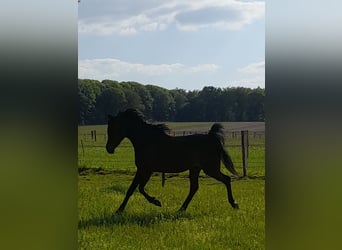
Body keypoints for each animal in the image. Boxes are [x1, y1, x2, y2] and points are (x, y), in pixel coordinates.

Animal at [105, 108, 239, 212]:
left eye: (111, 128)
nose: (108, 149)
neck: (146, 141)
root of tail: (211, 137)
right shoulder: (142, 169)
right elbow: (132, 189)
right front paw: (120, 210)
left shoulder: (146, 169)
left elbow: (139, 188)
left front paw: (156, 202)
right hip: (195, 169)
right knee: (194, 187)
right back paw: (181, 209)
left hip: (210, 169)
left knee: (226, 179)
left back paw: (234, 204)